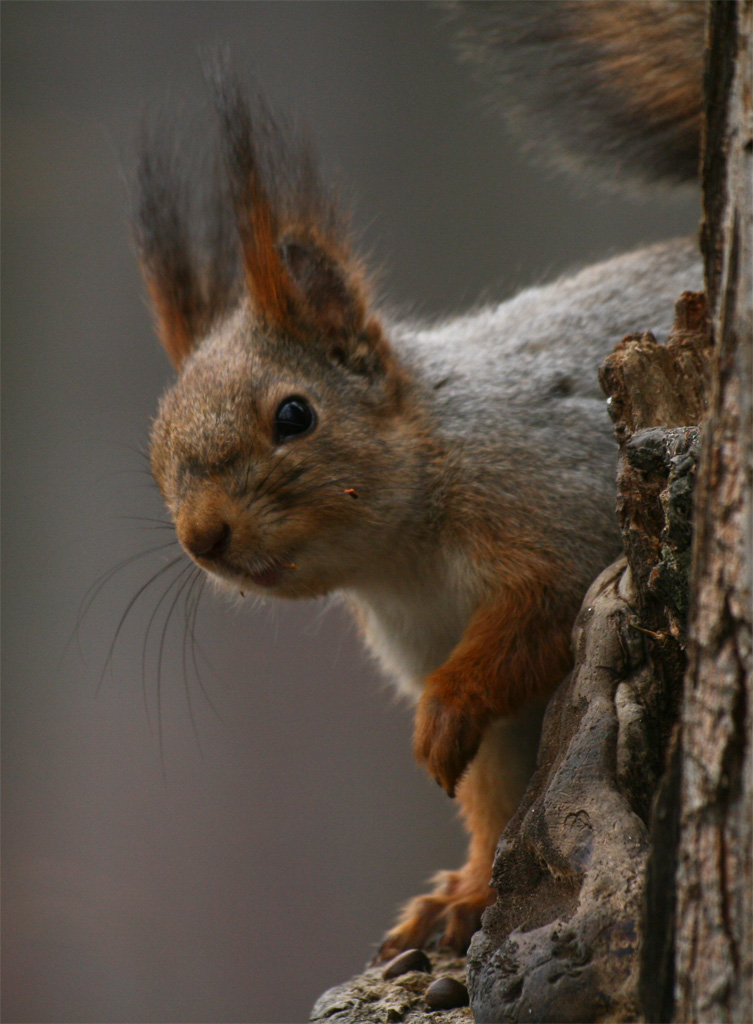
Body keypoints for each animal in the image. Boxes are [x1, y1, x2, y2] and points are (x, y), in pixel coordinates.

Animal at [131, 0, 704, 958]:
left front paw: (443, 715)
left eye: (295, 415)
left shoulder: (550, 503)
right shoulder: (426, 639)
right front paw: (464, 895)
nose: (202, 538)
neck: (403, 557)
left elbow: (536, 613)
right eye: (154, 449)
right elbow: (494, 788)